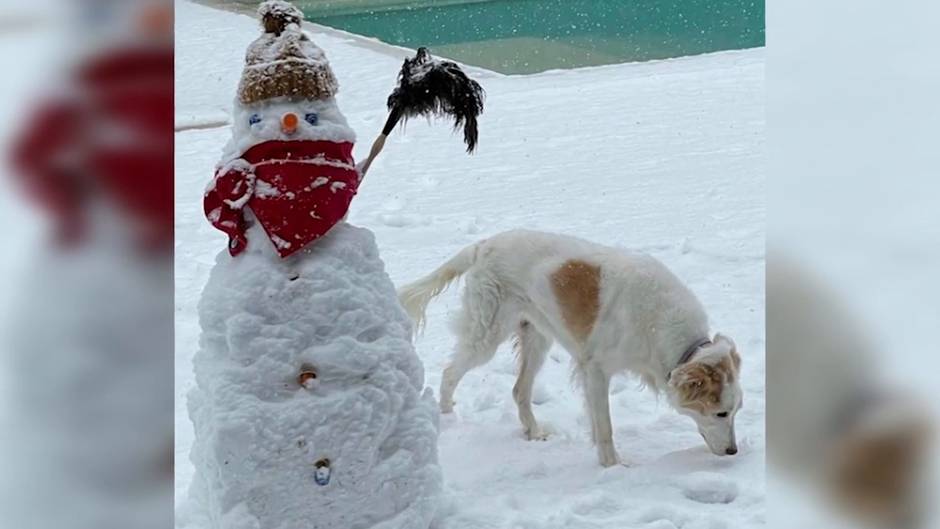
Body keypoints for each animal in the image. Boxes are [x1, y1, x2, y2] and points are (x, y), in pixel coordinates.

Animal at [396, 229, 740, 464]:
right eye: (721, 413)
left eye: (736, 411)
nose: (733, 451)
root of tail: (483, 245)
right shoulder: (596, 370)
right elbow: (605, 428)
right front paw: (613, 467)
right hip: (486, 335)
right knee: (450, 372)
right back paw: (446, 415)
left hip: (537, 338)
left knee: (519, 391)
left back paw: (534, 433)